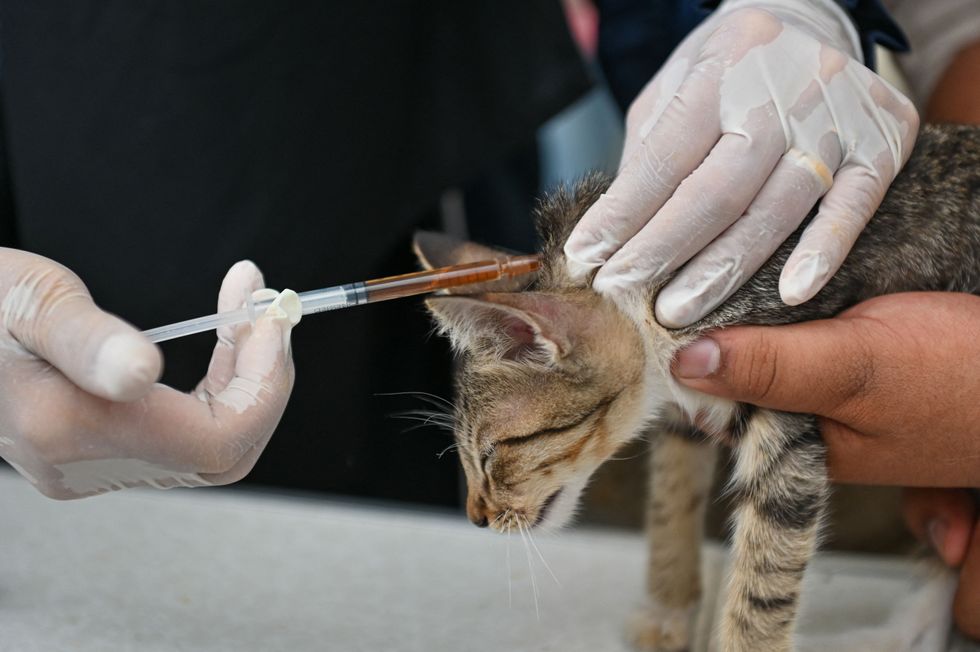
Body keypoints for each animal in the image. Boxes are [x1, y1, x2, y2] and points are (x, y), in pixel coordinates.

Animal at [416, 123, 980, 652]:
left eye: (491, 454)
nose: (476, 518)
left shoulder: (784, 431)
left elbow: (764, 579)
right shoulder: (681, 414)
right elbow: (671, 499)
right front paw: (668, 610)